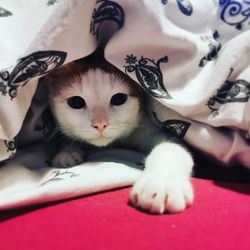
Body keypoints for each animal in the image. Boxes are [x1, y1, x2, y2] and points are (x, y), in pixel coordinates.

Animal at [44, 53, 193, 214]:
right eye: (76, 102)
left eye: (119, 98)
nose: (100, 124)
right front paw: (66, 153)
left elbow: (171, 147)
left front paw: (161, 182)